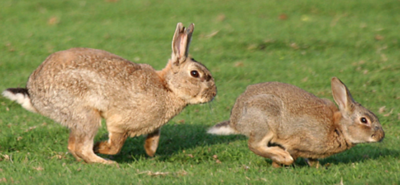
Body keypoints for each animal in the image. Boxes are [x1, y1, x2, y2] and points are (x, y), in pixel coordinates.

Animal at [2, 22, 216, 163]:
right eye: (195, 73)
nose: (213, 94)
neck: (168, 87)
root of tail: (34, 96)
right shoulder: (119, 123)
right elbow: (115, 145)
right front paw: (101, 147)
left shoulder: (154, 126)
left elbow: (153, 138)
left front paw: (150, 152)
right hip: (86, 114)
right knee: (80, 146)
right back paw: (104, 161)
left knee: (73, 146)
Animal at [208, 77, 382, 167]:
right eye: (364, 120)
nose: (381, 136)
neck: (338, 127)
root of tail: (235, 120)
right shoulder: (298, 142)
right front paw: (280, 164)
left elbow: (312, 160)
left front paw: (319, 169)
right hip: (264, 122)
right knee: (254, 145)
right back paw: (282, 156)